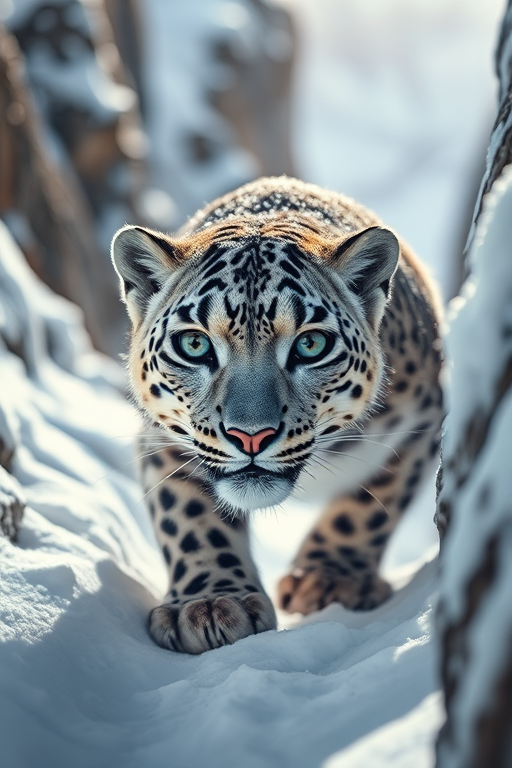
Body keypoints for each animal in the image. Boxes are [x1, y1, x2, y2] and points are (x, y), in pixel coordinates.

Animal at [111, 176, 443, 654]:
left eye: (310, 345)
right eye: (194, 344)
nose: (250, 436)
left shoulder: (422, 422)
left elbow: (368, 508)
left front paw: (328, 579)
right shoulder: (163, 438)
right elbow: (189, 517)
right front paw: (210, 603)